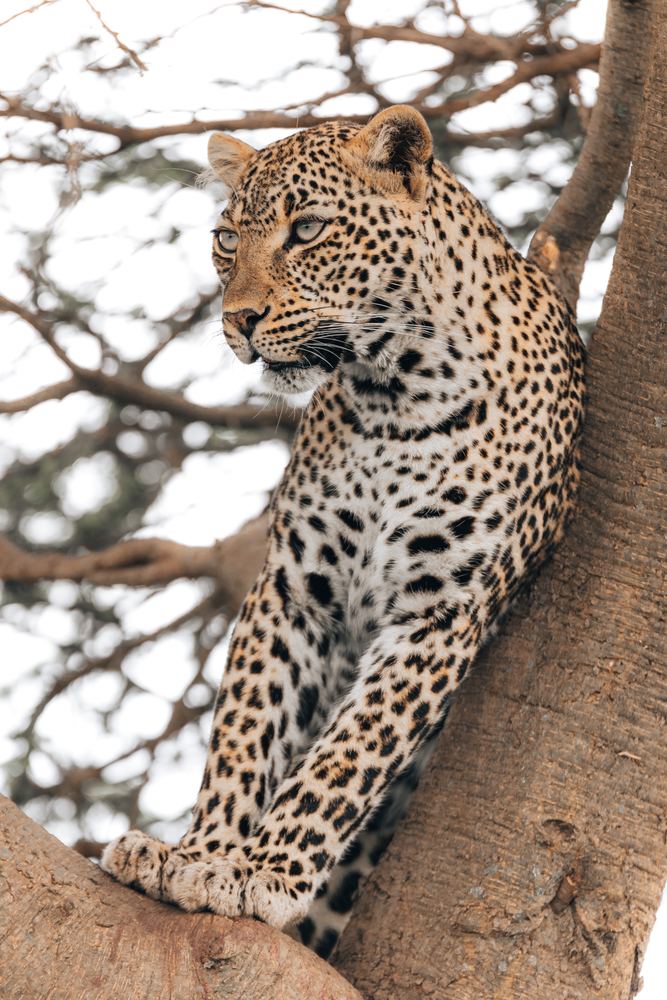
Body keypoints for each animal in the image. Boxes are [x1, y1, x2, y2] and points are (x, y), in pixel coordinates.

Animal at [101, 104, 585, 959]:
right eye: (226, 239)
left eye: (308, 229)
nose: (238, 321)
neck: (395, 394)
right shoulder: (293, 588)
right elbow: (246, 729)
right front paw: (201, 855)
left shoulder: (440, 610)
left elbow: (348, 753)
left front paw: (263, 871)